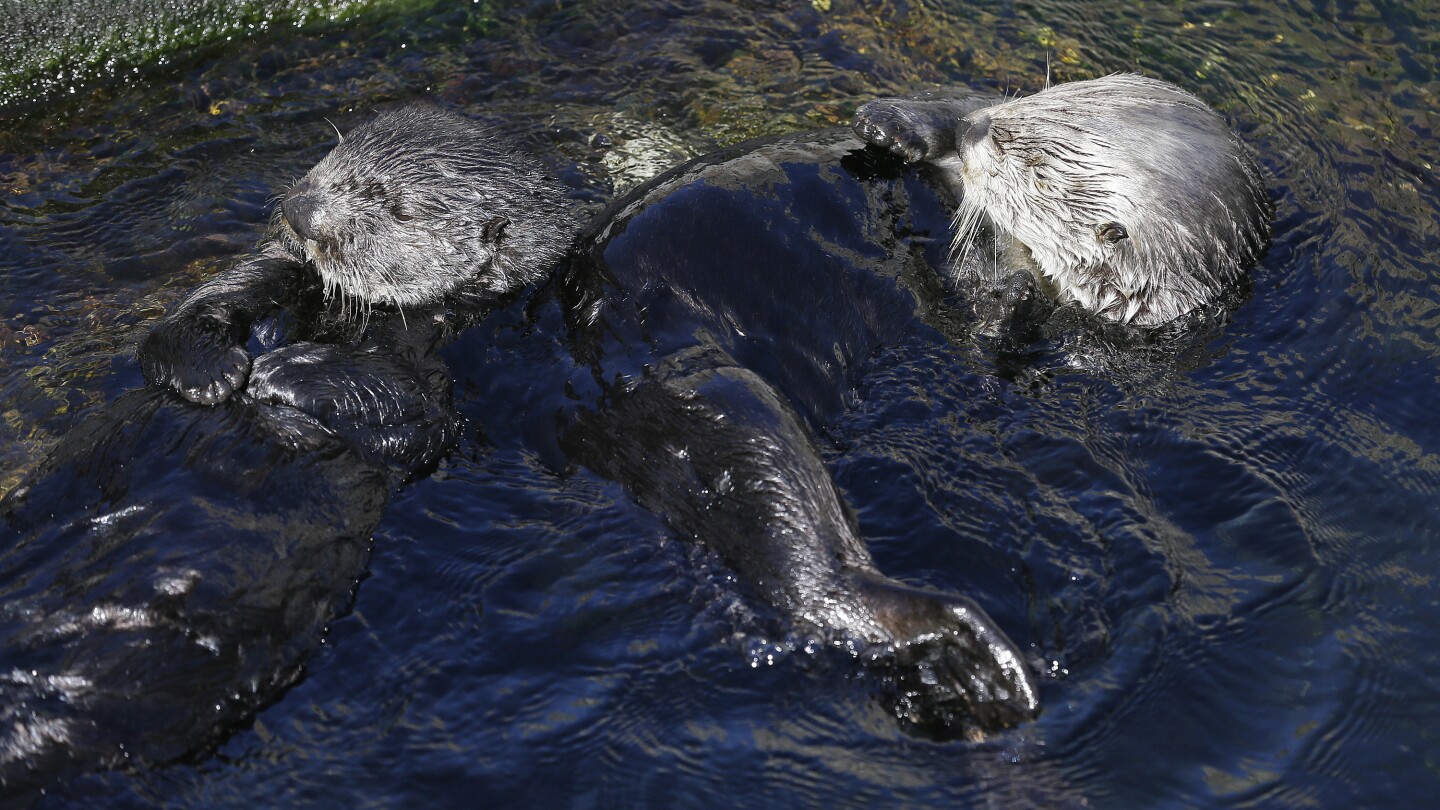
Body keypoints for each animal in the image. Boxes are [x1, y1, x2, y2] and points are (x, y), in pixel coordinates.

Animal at [0, 105, 572, 792]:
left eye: (392, 205)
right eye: (336, 152)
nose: (300, 208)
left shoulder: (451, 374)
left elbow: (410, 415)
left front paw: (281, 371)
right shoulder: (278, 272)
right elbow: (197, 309)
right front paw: (212, 372)